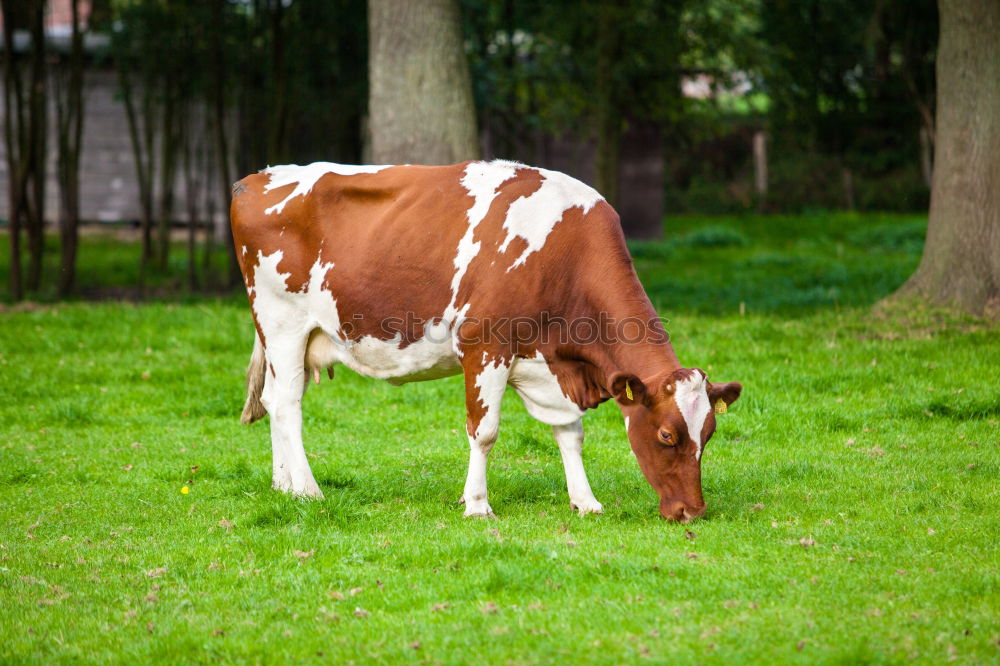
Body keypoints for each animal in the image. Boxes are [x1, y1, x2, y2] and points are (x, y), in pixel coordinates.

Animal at [230, 160, 740, 520]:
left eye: (709, 433)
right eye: (666, 434)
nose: (693, 512)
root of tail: (256, 179)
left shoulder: (553, 364)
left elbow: (570, 434)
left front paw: (585, 501)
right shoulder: (485, 345)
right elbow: (485, 430)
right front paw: (476, 504)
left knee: (273, 399)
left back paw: (283, 485)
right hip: (282, 323)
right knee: (288, 404)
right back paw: (308, 490)